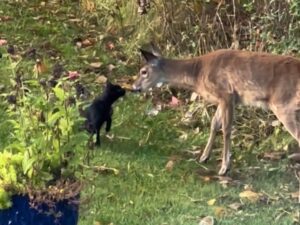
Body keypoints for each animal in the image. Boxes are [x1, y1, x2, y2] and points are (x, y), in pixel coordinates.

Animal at [132, 48, 300, 176]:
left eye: (143, 71)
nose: (134, 87)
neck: (197, 73)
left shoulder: (226, 94)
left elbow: (226, 129)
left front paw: (224, 167)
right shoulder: (224, 100)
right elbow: (214, 124)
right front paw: (204, 157)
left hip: (283, 104)